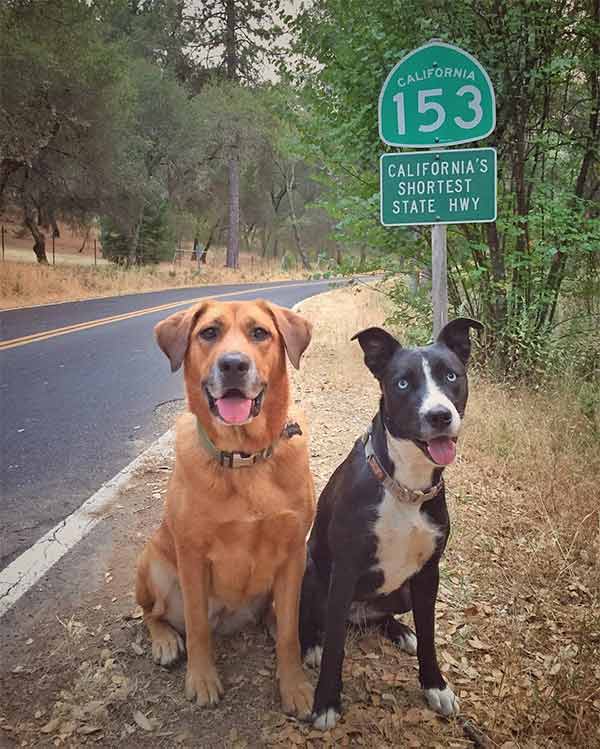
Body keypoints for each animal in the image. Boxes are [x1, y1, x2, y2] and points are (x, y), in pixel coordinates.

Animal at [135, 296, 314, 712]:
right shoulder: (192, 554)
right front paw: (202, 679)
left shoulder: (294, 551)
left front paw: (294, 685)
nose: (233, 364)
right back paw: (165, 640)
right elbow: (197, 627)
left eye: (260, 333)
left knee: (277, 614)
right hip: (153, 563)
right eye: (209, 333)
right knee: (153, 613)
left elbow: (290, 633)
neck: (245, 458)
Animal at [300, 318, 482, 732]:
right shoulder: (345, 571)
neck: (405, 488)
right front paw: (326, 701)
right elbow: (335, 647)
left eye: (451, 376)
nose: (439, 415)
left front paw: (435, 686)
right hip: (311, 573)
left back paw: (399, 631)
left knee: (382, 618)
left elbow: (430, 634)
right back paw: (311, 645)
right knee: (311, 620)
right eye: (402, 383)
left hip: (400, 592)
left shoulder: (429, 573)